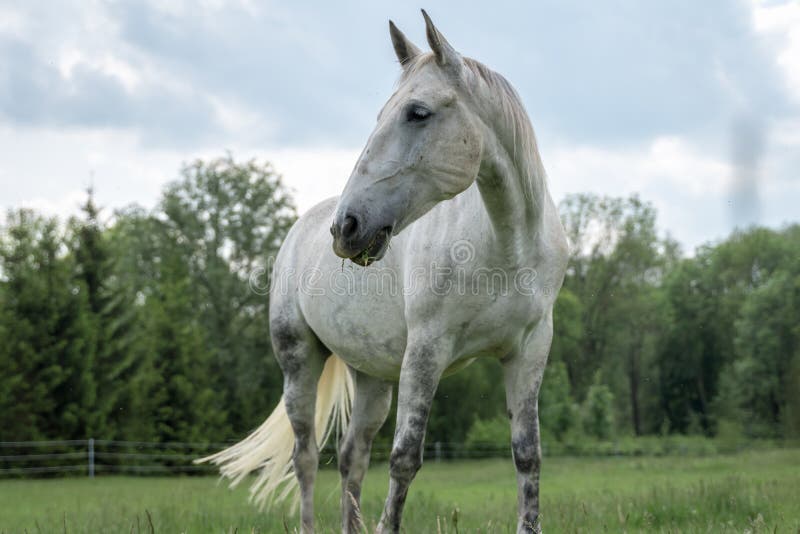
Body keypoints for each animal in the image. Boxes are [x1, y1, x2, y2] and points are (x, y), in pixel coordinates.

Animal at [199, 10, 568, 534]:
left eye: (417, 112)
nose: (347, 227)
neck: (506, 246)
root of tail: (303, 227)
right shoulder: (426, 351)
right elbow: (404, 458)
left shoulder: (529, 351)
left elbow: (527, 456)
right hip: (298, 362)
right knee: (305, 457)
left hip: (371, 377)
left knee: (351, 457)